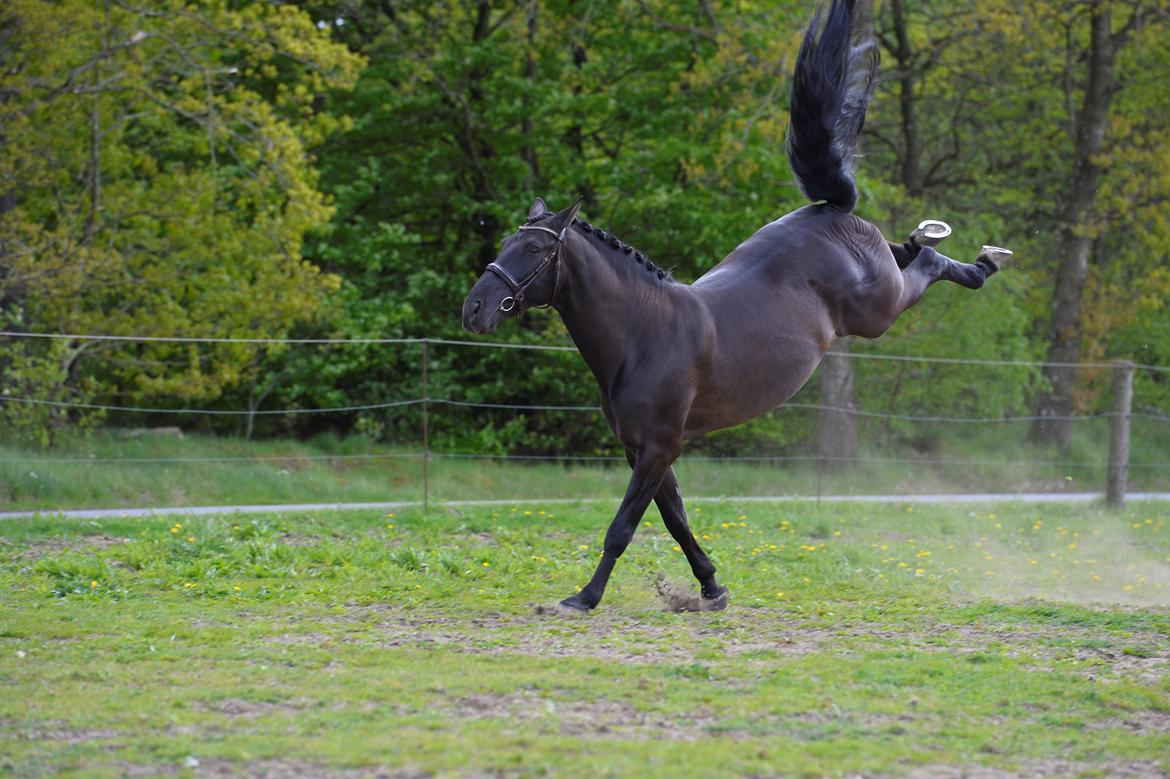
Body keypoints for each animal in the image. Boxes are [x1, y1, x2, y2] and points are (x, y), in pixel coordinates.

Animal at [456, 1, 1006, 612]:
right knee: (909, 250)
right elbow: (675, 520)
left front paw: (585, 598)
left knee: (926, 264)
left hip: (877, 311)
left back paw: (983, 263)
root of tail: (831, 210)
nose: (474, 310)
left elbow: (623, 527)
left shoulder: (659, 446)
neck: (643, 336)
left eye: (533, 249)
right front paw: (711, 587)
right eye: (508, 240)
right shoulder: (642, 449)